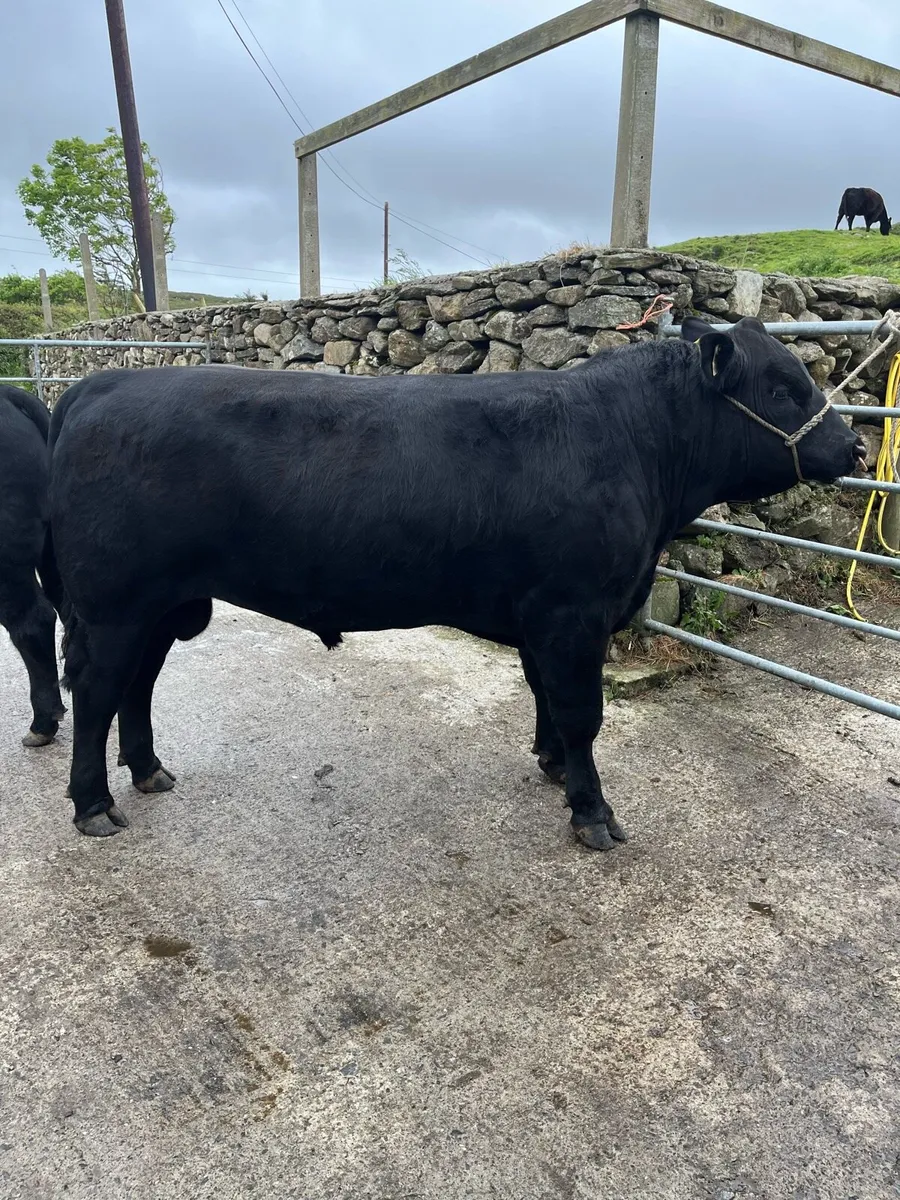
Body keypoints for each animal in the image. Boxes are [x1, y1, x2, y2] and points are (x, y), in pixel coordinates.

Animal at [46, 316, 865, 847]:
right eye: (783, 387)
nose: (856, 445)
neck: (632, 442)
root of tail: (103, 381)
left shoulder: (542, 613)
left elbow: (544, 696)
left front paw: (553, 767)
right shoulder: (575, 611)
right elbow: (583, 713)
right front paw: (593, 814)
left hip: (162, 604)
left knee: (137, 685)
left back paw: (149, 772)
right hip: (115, 604)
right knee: (96, 689)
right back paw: (93, 804)